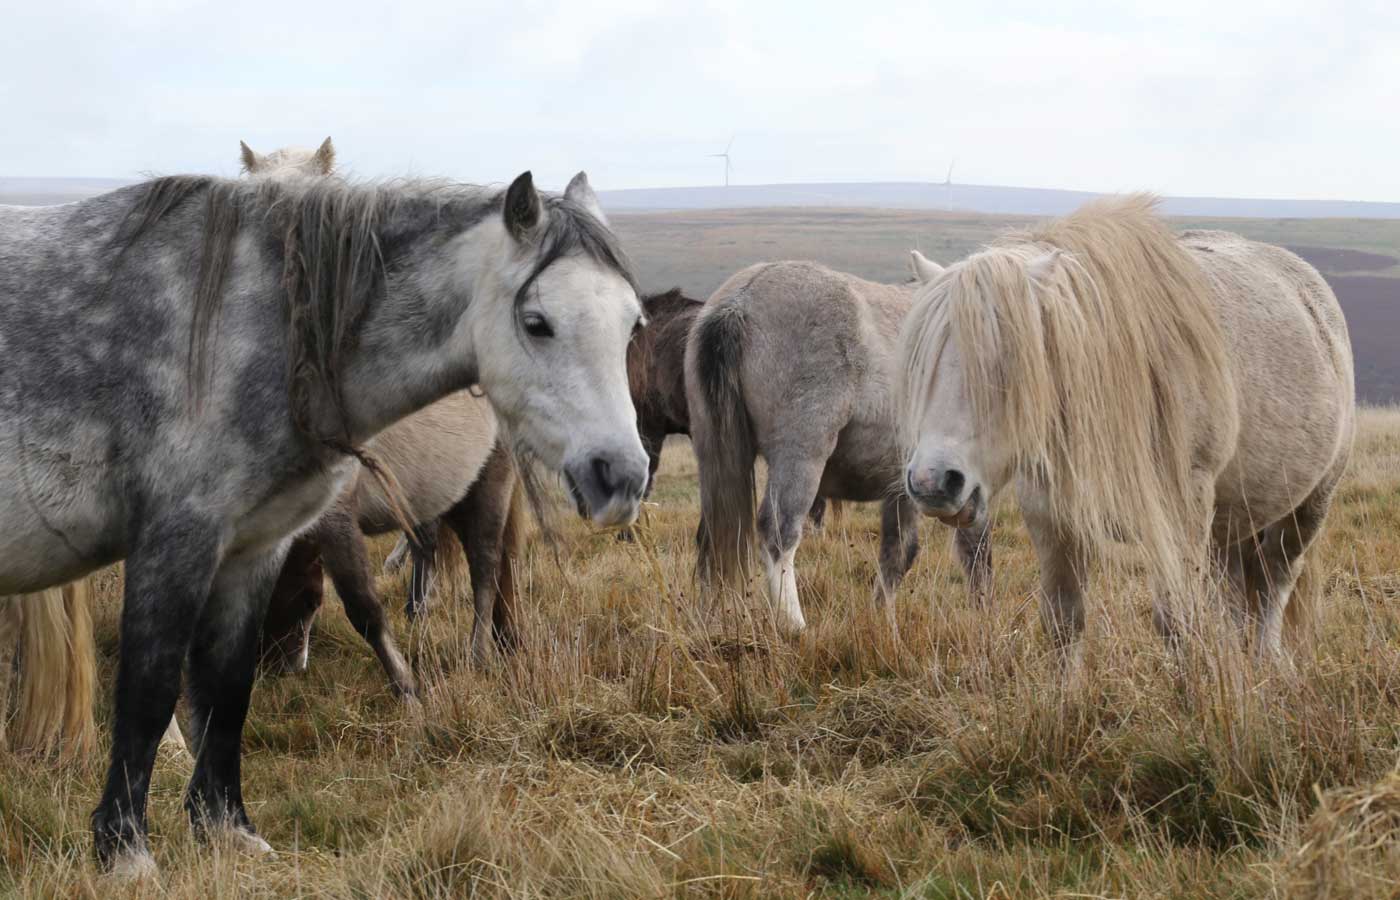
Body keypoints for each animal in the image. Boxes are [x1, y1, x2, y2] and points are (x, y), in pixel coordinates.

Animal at [0, 168, 649, 875]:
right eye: (537, 323)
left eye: (631, 326)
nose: (622, 476)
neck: (253, 325)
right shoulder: (175, 543)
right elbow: (150, 690)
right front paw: (125, 851)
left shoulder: (251, 549)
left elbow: (228, 686)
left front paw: (227, 829)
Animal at [686, 259, 992, 636]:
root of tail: (739, 301)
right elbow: (973, 551)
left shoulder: (905, 488)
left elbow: (899, 552)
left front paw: (882, 621)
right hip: (800, 458)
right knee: (778, 533)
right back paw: (795, 626)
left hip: (715, 458)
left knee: (712, 538)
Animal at [897, 195, 1354, 656]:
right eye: (923, 364)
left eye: (1006, 362)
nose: (933, 482)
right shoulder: (1052, 515)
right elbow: (1063, 622)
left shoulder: (1181, 516)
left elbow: (1177, 624)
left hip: (1308, 507)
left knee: (1274, 581)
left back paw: (1264, 659)